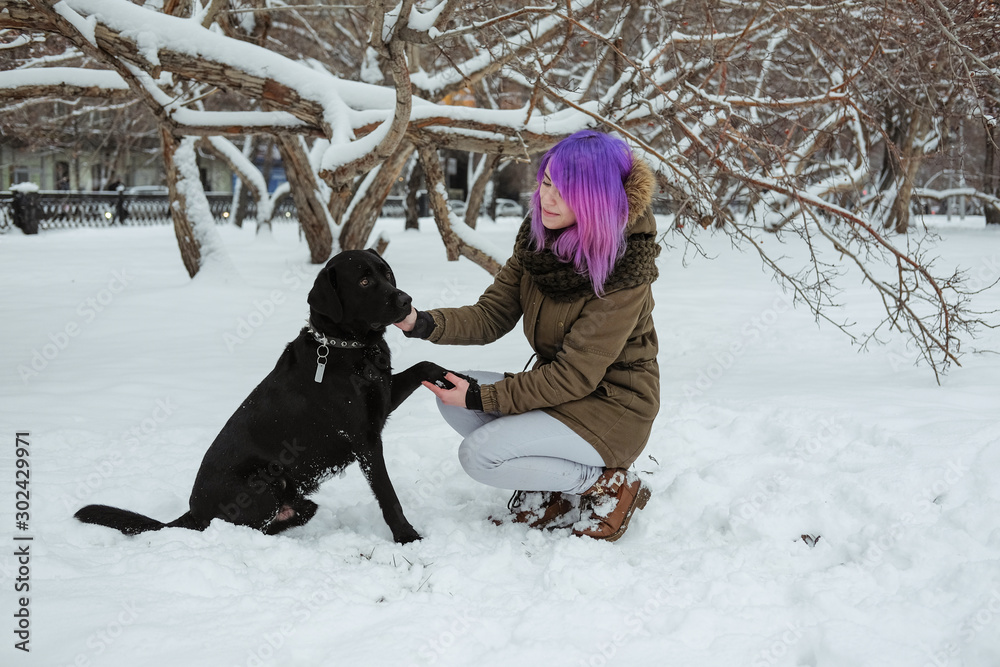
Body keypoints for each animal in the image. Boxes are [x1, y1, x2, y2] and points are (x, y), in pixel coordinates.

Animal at [76, 249, 452, 544]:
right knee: (251, 528)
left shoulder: (382, 402)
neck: (345, 348)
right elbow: (388, 494)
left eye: (385, 273)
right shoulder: (365, 438)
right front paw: (407, 536)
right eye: (363, 282)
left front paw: (450, 380)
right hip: (266, 480)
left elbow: (424, 365)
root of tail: (192, 512)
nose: (406, 301)